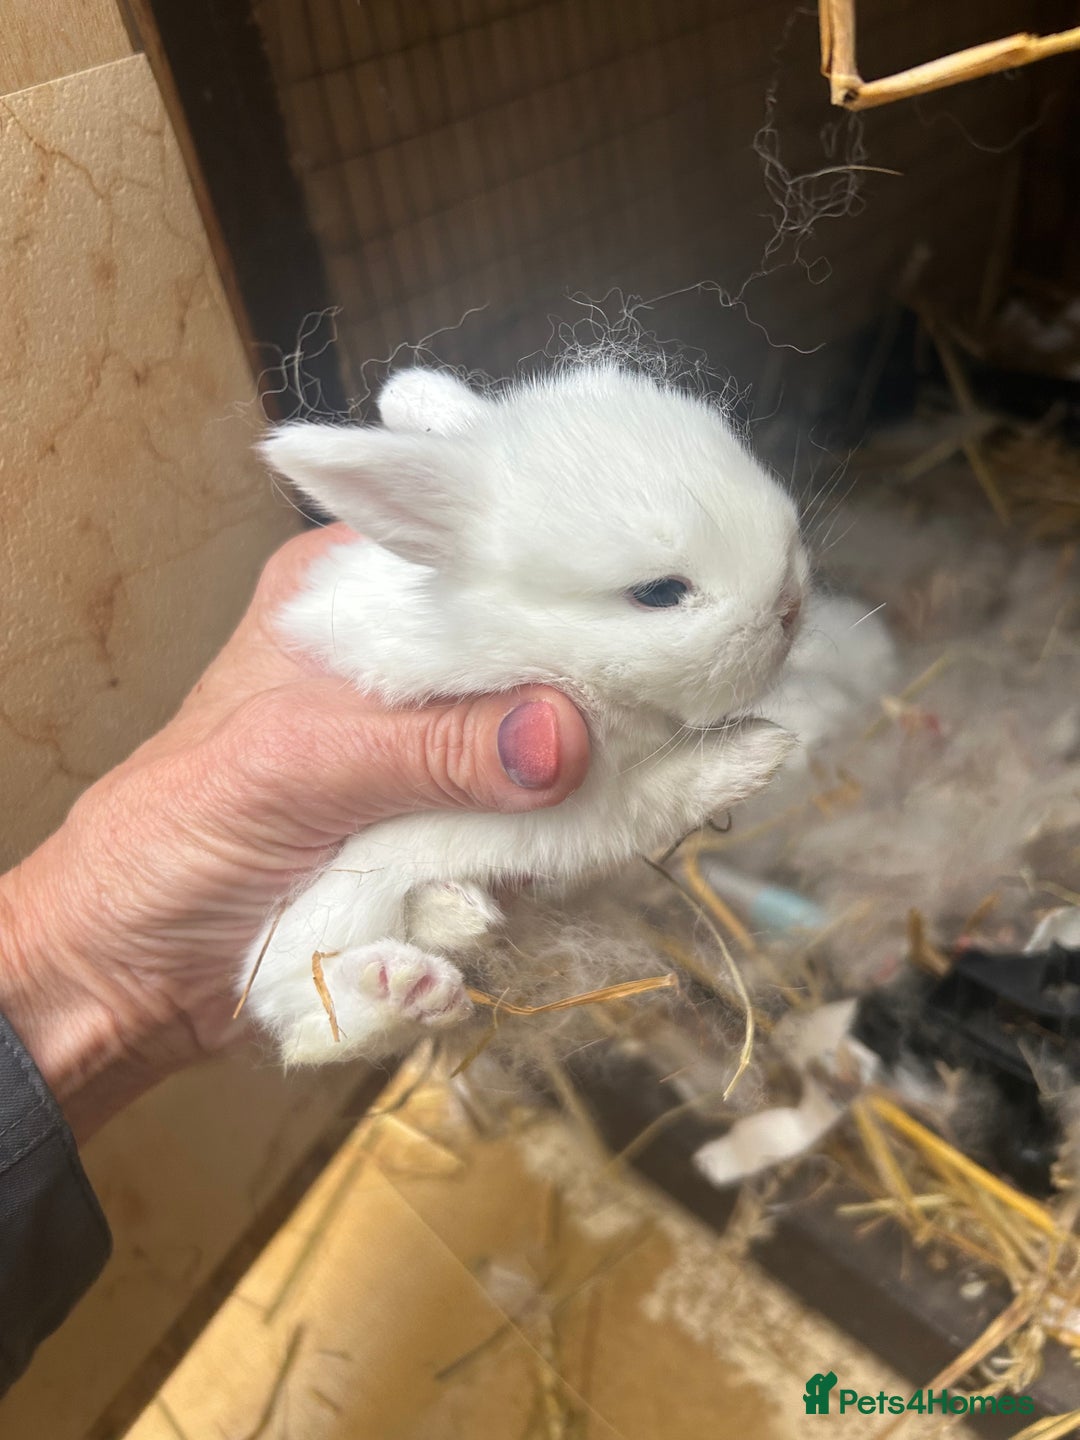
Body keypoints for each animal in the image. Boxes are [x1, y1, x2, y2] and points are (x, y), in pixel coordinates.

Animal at [244, 363, 808, 1065]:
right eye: (658, 593)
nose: (792, 606)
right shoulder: (566, 800)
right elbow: (654, 800)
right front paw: (762, 750)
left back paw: (454, 922)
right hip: (332, 910)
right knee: (309, 1024)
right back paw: (404, 986)